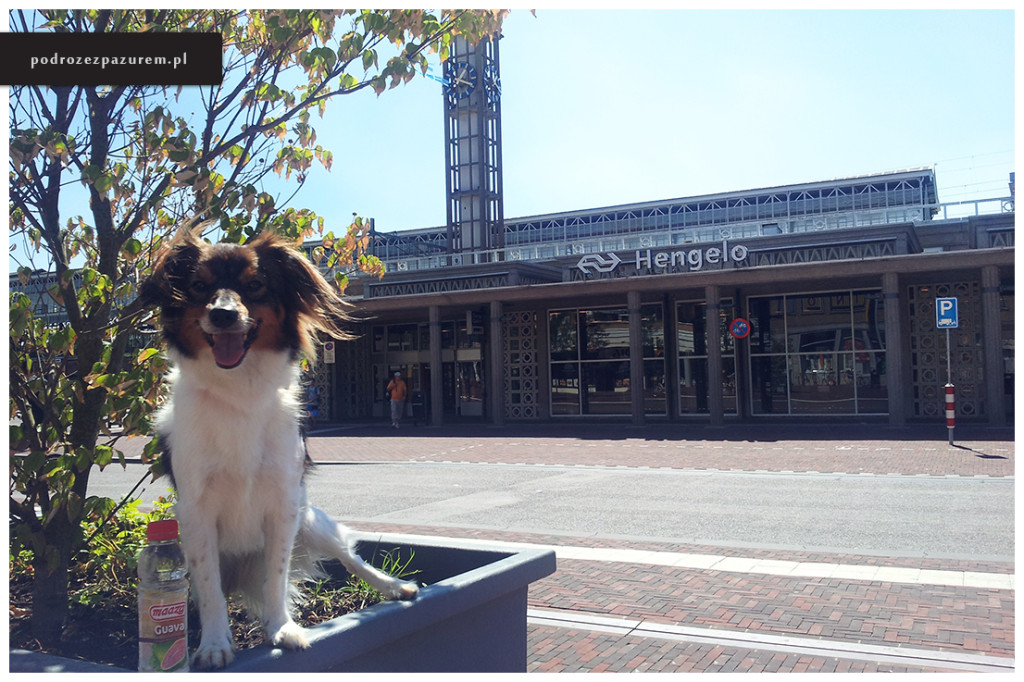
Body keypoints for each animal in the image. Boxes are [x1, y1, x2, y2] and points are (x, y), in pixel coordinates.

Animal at [142, 227, 417, 663]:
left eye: (255, 285)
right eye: (199, 286)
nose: (223, 315)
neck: (238, 392)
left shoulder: (283, 504)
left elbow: (277, 574)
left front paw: (282, 628)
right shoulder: (196, 512)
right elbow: (209, 586)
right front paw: (215, 644)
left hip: (312, 520)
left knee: (350, 555)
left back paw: (394, 586)